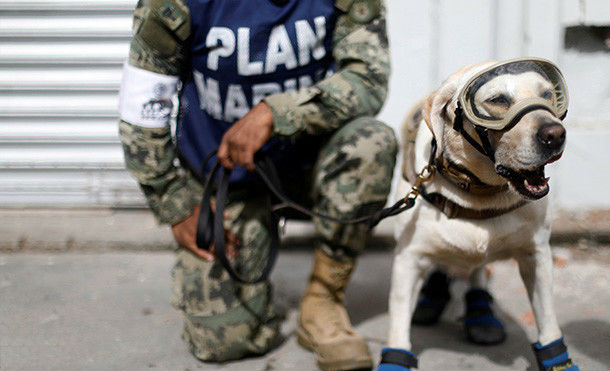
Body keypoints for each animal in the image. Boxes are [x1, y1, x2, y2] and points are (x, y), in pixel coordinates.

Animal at [378, 58, 576, 371]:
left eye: (548, 95)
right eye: (498, 100)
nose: (555, 135)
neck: (479, 195)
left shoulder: (537, 256)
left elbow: (549, 324)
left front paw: (558, 359)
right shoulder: (407, 259)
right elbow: (398, 321)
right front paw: (395, 357)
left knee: (477, 271)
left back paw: (481, 312)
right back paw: (432, 297)